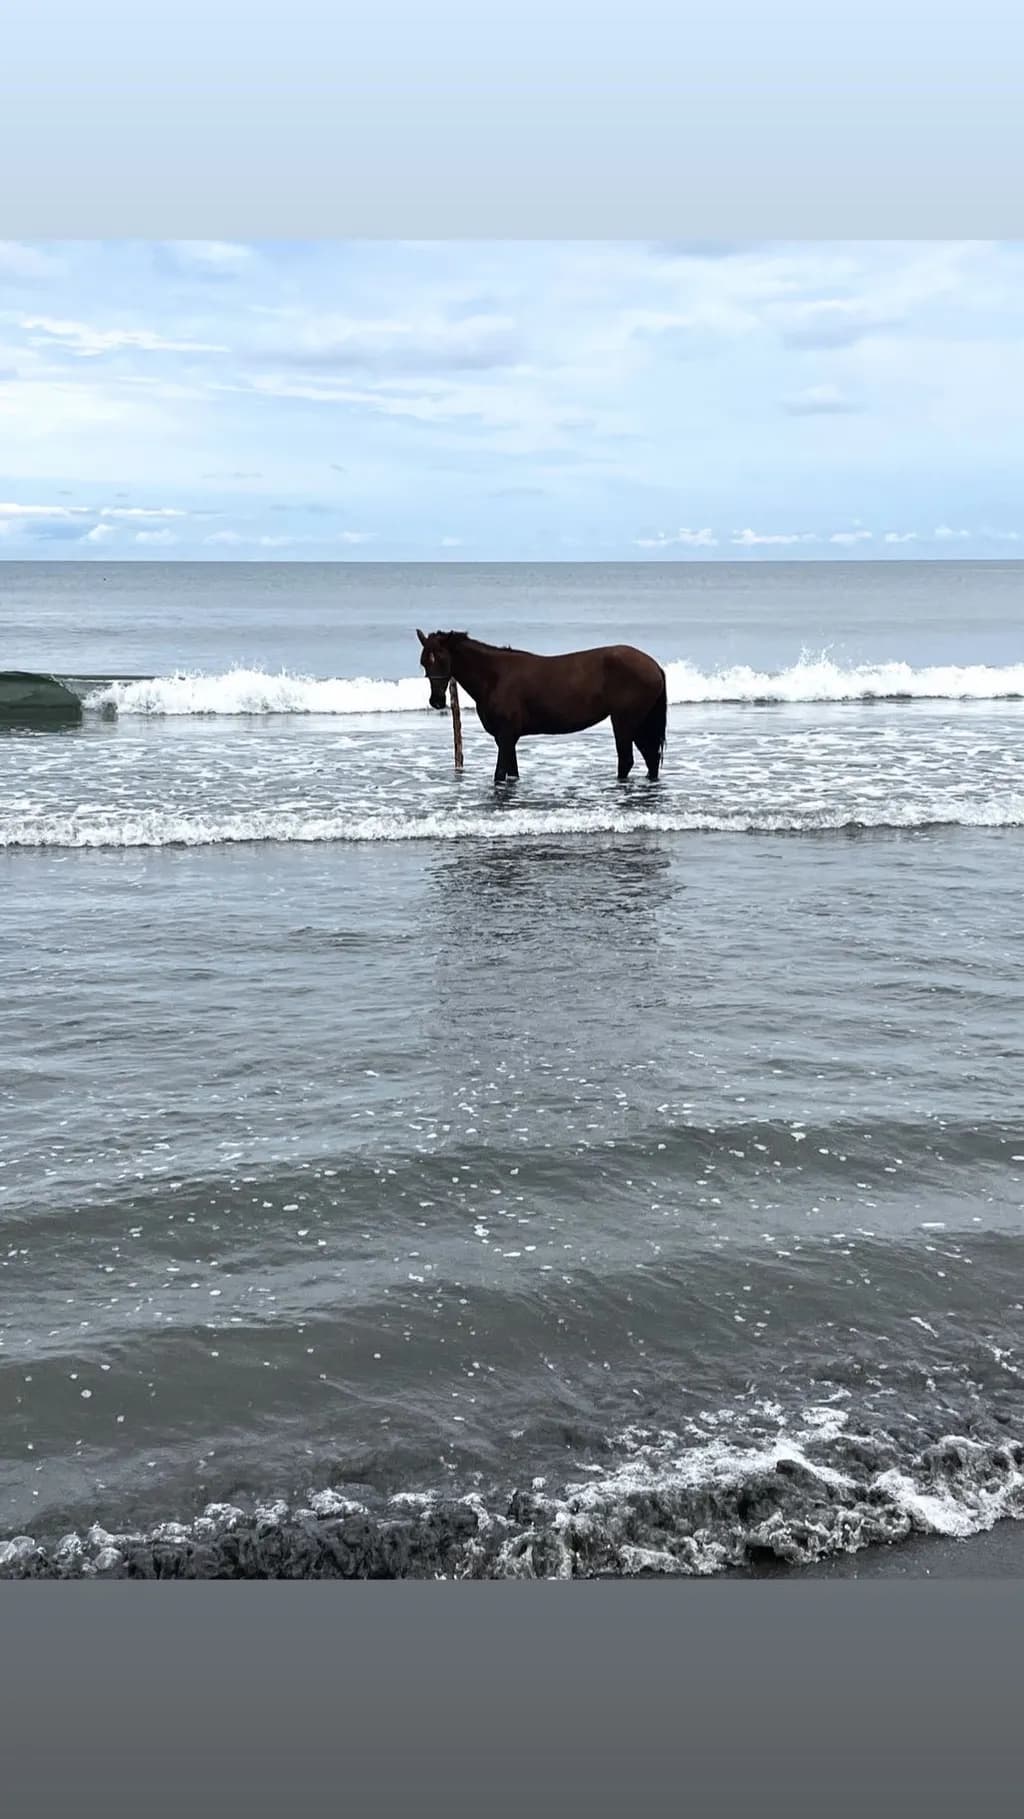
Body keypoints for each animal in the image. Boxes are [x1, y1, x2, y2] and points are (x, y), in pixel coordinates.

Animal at [416, 629, 668, 785]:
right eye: (424, 661)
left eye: (441, 658)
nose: (436, 701)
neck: (495, 676)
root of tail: (654, 665)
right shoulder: (506, 738)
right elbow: (512, 773)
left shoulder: (506, 735)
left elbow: (499, 774)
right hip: (640, 723)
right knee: (651, 758)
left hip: (625, 722)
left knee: (628, 760)